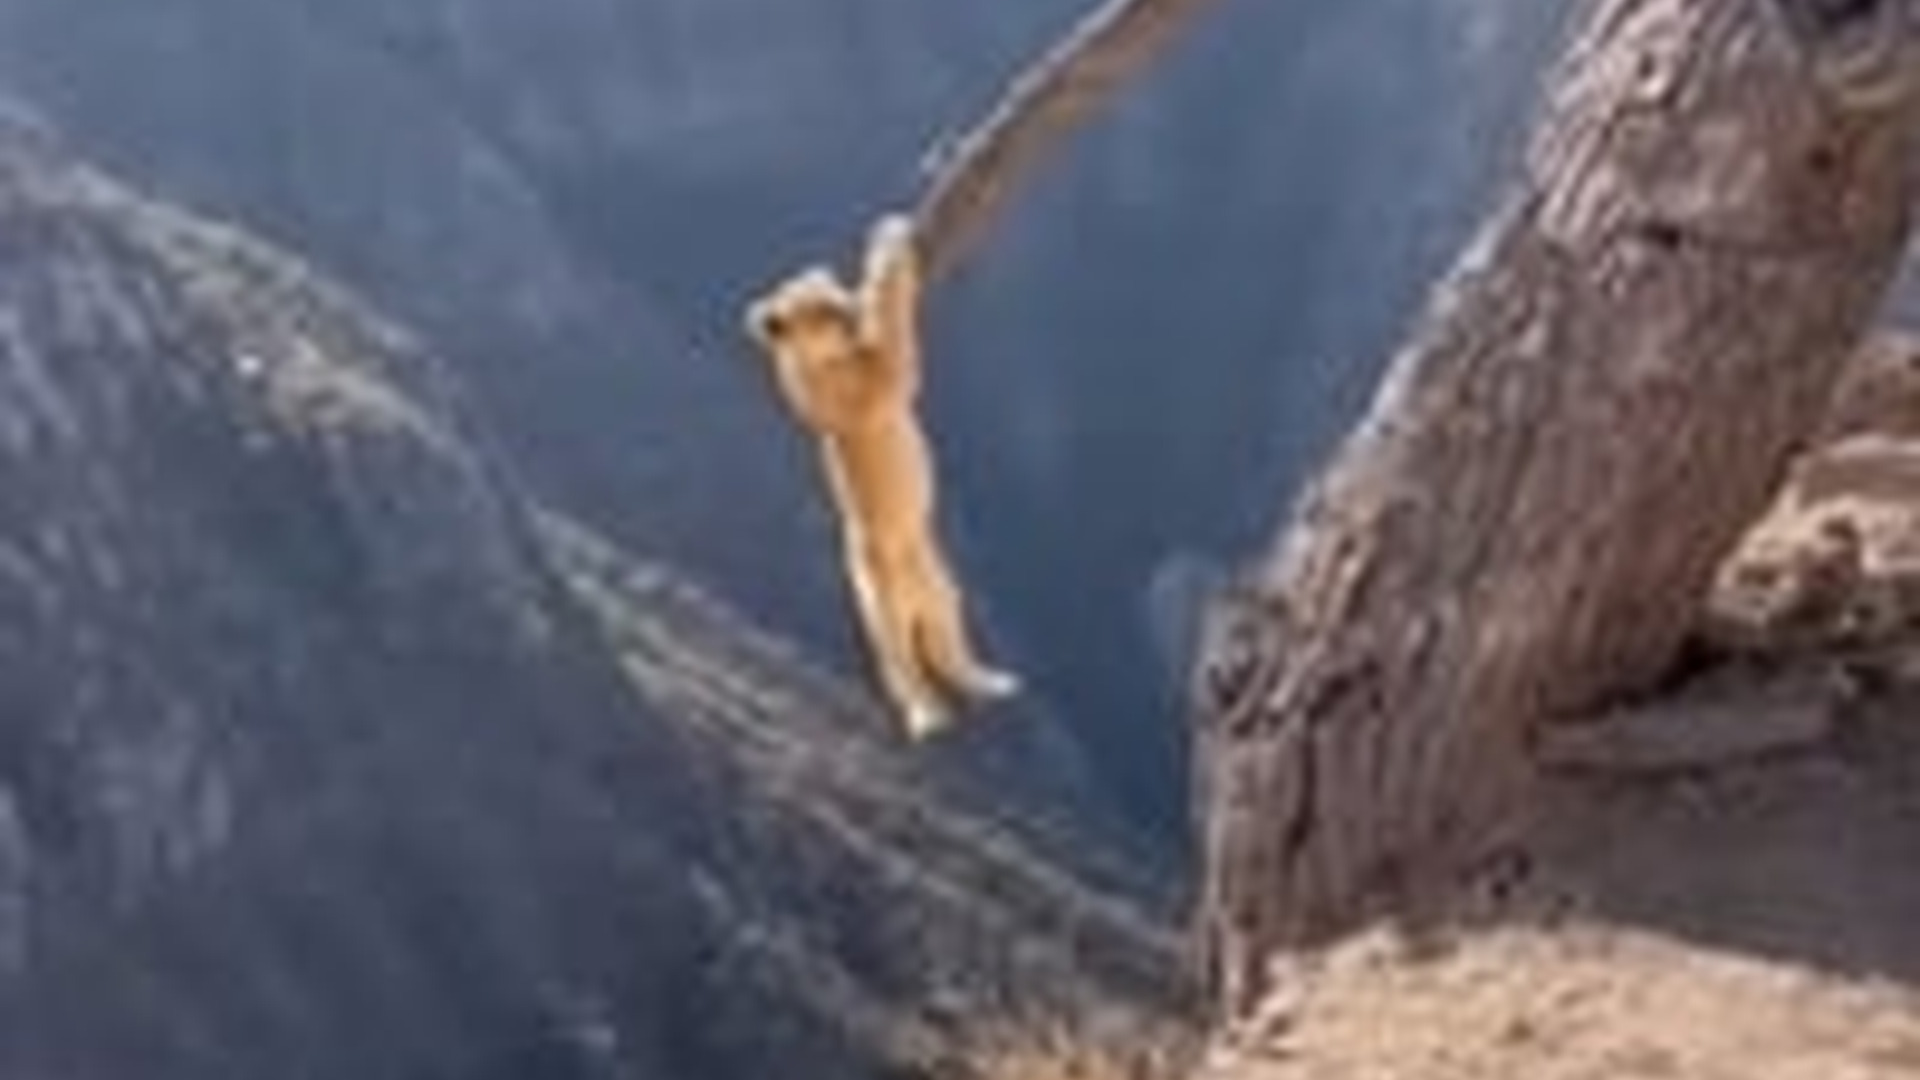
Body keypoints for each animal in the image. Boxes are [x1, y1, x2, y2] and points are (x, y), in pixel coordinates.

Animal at [745, 213, 1020, 738]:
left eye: (834, 294)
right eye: (822, 310)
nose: (850, 312)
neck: (808, 365)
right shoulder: (876, 378)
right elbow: (894, 337)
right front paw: (885, 244)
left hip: (940, 588)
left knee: (945, 643)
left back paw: (992, 683)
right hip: (879, 601)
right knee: (899, 665)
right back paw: (927, 715)